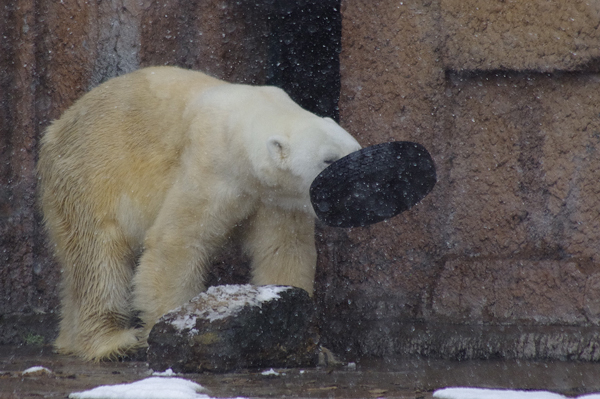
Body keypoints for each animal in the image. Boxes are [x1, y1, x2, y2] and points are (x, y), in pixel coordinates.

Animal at [39, 66, 360, 362]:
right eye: (328, 159)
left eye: (355, 151)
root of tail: (55, 131)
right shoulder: (209, 165)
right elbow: (177, 242)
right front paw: (172, 330)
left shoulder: (276, 197)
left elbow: (284, 250)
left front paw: (312, 343)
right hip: (92, 175)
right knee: (100, 254)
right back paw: (113, 343)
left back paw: (69, 340)